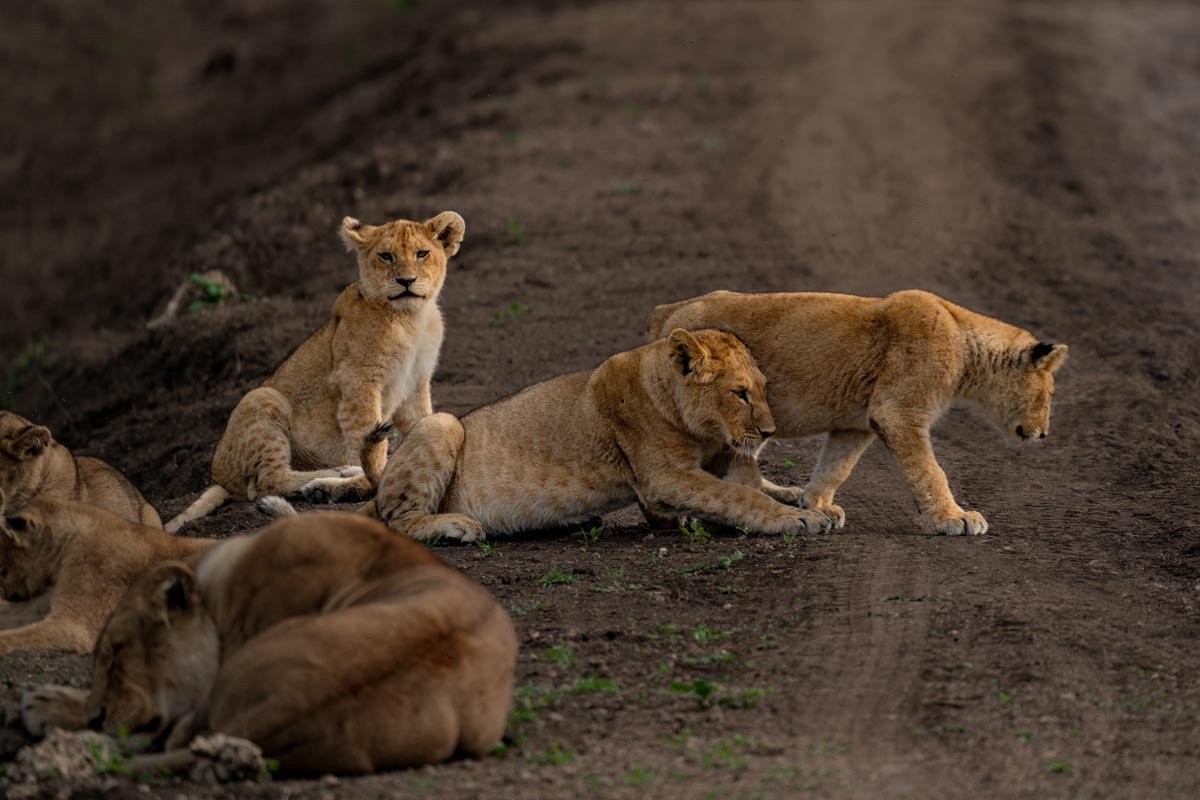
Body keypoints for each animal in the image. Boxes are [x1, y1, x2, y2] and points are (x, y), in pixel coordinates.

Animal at [165, 212, 466, 533]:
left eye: (422, 254)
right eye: (386, 256)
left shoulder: (415, 384)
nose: (406, 281)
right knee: (265, 482)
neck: (410, 318)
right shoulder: (358, 383)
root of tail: (218, 476)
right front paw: (363, 476)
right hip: (264, 397)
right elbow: (368, 441)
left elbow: (420, 426)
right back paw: (331, 476)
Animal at [330, 329, 832, 542]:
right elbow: (737, 496)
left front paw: (803, 500)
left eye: (763, 389)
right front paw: (798, 519)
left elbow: (749, 485)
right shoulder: (664, 478)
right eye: (739, 393)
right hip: (443, 424)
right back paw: (456, 526)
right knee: (397, 518)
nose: (769, 431)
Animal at [646, 290, 1069, 535]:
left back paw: (785, 494)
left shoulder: (858, 422)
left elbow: (836, 465)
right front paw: (953, 518)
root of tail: (666, 310)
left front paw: (817, 504)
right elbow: (929, 470)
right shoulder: (897, 410)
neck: (964, 341)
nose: (1044, 433)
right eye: (1049, 393)